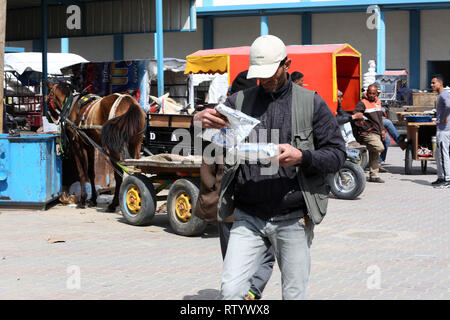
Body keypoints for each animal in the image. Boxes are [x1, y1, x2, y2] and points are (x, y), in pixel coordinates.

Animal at [45, 82, 146, 212]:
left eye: (48, 97)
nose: (47, 116)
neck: (71, 104)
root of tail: (130, 102)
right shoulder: (90, 146)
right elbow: (91, 172)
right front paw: (93, 199)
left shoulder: (76, 145)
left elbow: (82, 172)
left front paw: (83, 199)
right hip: (136, 144)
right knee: (137, 169)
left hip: (114, 150)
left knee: (119, 175)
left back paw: (114, 204)